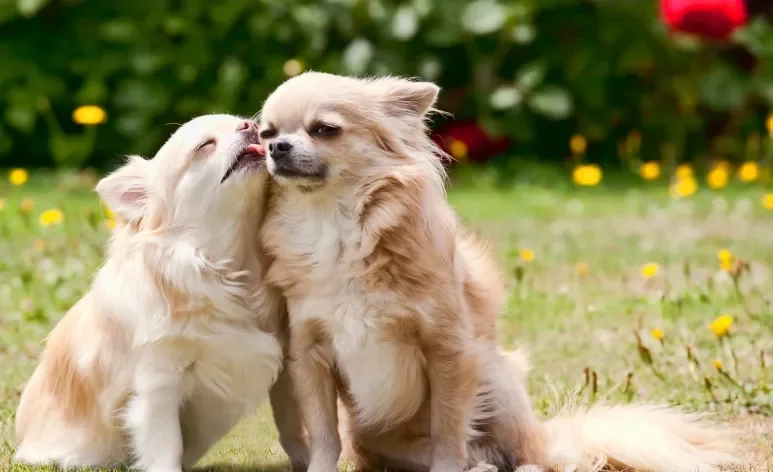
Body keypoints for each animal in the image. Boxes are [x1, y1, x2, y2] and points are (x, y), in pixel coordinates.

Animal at [13, 115, 306, 472]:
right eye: (205, 146)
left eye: (246, 123)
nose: (250, 125)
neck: (228, 265)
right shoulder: (159, 384)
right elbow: (165, 445)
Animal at [258, 71, 736, 472]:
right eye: (267, 133)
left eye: (325, 129)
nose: (276, 148)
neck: (333, 224)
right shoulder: (310, 354)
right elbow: (324, 434)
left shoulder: (449, 350)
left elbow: (449, 428)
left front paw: (449, 470)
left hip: (498, 379)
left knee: (534, 456)